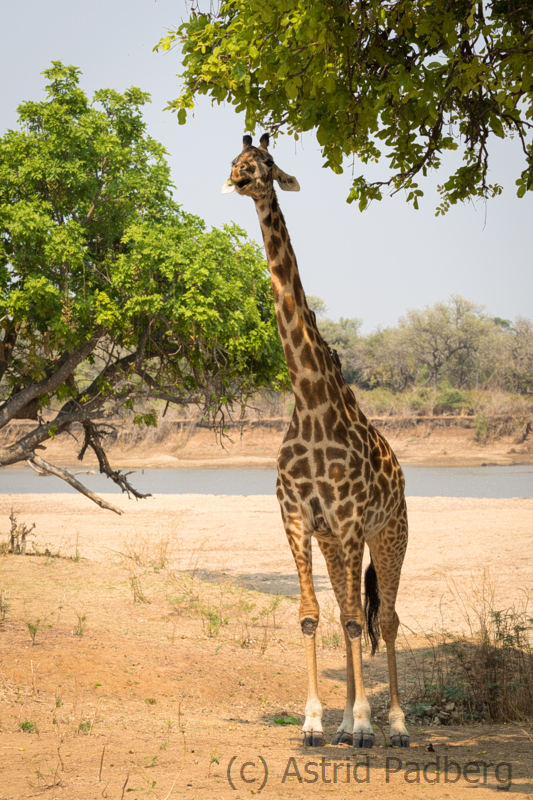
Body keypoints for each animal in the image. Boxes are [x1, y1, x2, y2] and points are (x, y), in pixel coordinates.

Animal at [220, 133, 408, 752]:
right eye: (237, 159)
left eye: (267, 163)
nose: (241, 176)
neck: (309, 399)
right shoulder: (298, 516)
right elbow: (311, 614)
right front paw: (315, 722)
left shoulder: (349, 518)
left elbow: (355, 621)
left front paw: (368, 723)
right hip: (335, 543)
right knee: (351, 606)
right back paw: (349, 722)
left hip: (389, 532)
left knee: (385, 617)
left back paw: (396, 725)